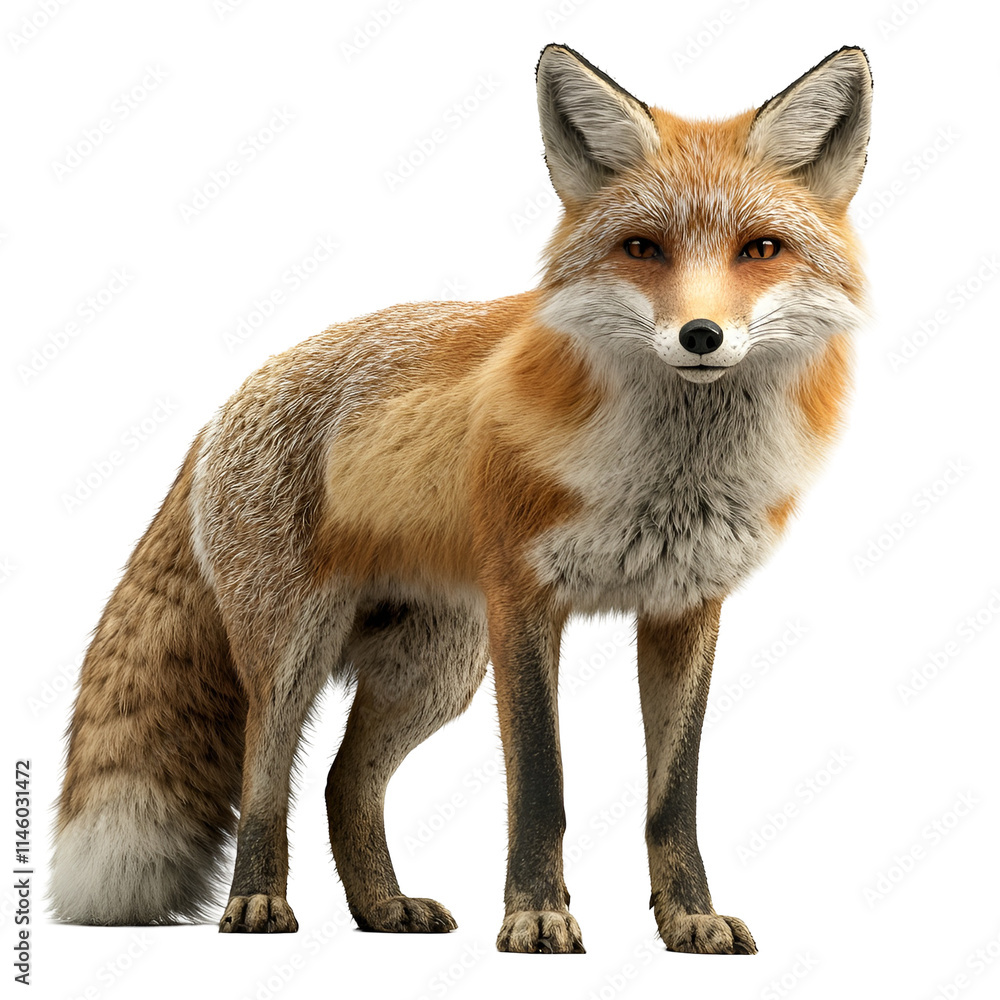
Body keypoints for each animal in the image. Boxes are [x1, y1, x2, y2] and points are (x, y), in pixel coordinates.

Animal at [50, 43, 872, 954]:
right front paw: (536, 915)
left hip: (434, 669)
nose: (702, 336)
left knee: (343, 783)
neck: (669, 476)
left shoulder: (685, 607)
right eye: (642, 247)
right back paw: (258, 903)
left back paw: (381, 909)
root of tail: (230, 400)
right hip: (294, 649)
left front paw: (688, 917)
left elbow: (674, 797)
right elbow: (542, 784)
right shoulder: (524, 601)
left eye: (761, 248)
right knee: (266, 778)